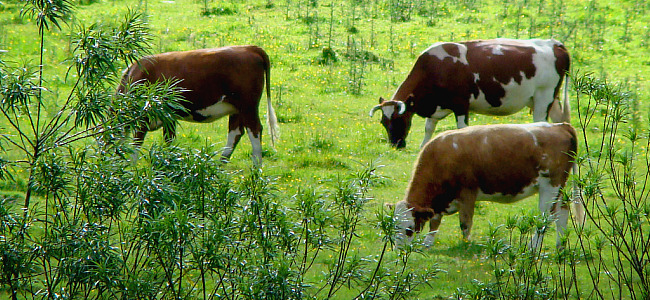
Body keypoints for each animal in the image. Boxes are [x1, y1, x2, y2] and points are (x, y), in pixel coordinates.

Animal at [120, 44, 278, 164]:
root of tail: (249, 48)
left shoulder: (144, 116)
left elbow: (136, 142)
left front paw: (132, 167)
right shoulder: (168, 117)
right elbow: (168, 140)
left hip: (248, 106)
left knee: (255, 130)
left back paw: (256, 169)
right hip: (236, 109)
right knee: (235, 133)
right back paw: (220, 166)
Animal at [368, 38, 568, 149]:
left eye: (400, 119)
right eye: (383, 122)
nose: (396, 145)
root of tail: (554, 43)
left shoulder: (461, 105)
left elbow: (461, 129)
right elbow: (428, 128)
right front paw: (423, 147)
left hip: (544, 97)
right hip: (550, 100)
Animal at [390, 122, 584, 251]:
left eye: (409, 228)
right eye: (393, 226)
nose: (398, 249)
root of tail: (561, 126)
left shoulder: (467, 193)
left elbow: (465, 223)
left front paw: (465, 245)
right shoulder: (439, 202)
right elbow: (435, 222)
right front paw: (427, 243)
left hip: (550, 186)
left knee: (545, 217)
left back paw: (532, 247)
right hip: (558, 189)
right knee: (562, 211)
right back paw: (560, 245)